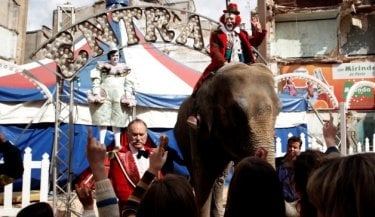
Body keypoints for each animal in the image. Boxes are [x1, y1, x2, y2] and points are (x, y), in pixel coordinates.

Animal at [175, 62, 280, 216]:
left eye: (280, 109)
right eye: (237, 113)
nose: (262, 152)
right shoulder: (198, 129)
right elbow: (203, 176)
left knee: (219, 178)